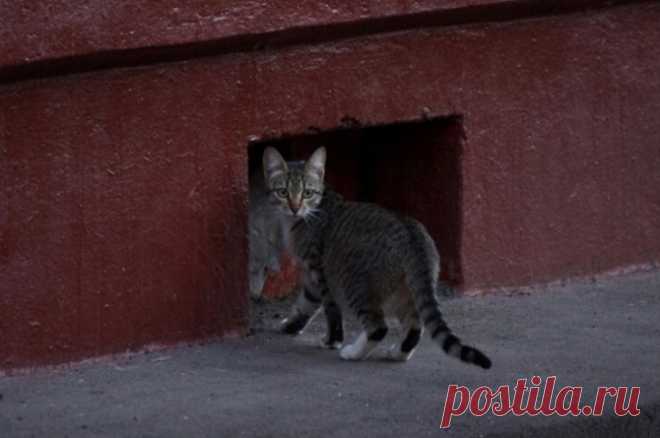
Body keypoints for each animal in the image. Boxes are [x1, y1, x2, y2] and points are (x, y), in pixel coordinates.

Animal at [262, 145, 490, 368]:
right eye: (283, 192)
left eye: (307, 193)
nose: (294, 207)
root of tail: (412, 236)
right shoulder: (312, 279)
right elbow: (305, 303)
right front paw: (290, 326)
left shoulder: (318, 271)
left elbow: (330, 310)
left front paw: (332, 340)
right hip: (405, 292)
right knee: (415, 325)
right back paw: (399, 353)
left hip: (356, 285)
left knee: (379, 327)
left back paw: (354, 352)